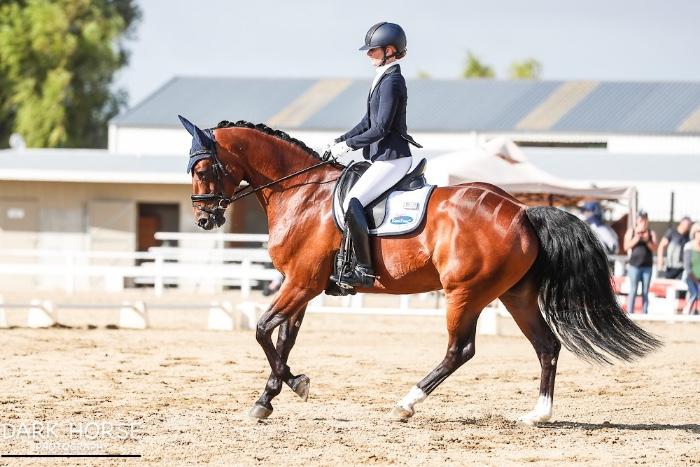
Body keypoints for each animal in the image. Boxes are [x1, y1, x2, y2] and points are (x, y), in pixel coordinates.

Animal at [179, 116, 661, 425]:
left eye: (202, 167)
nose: (203, 219)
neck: (301, 193)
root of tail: (522, 211)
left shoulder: (300, 283)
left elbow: (263, 331)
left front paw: (294, 385)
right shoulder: (304, 286)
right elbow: (283, 339)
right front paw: (271, 396)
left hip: (466, 293)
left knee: (459, 351)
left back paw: (406, 403)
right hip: (515, 295)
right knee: (546, 346)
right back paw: (537, 415)